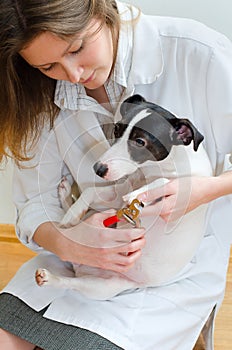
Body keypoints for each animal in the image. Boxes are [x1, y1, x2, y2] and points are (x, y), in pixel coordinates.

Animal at [35, 94, 212, 300]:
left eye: (140, 142)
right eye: (117, 129)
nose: (98, 169)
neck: (146, 172)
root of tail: (81, 266)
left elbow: (161, 182)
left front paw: (138, 194)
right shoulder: (115, 194)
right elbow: (90, 191)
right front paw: (73, 213)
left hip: (103, 287)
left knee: (72, 283)